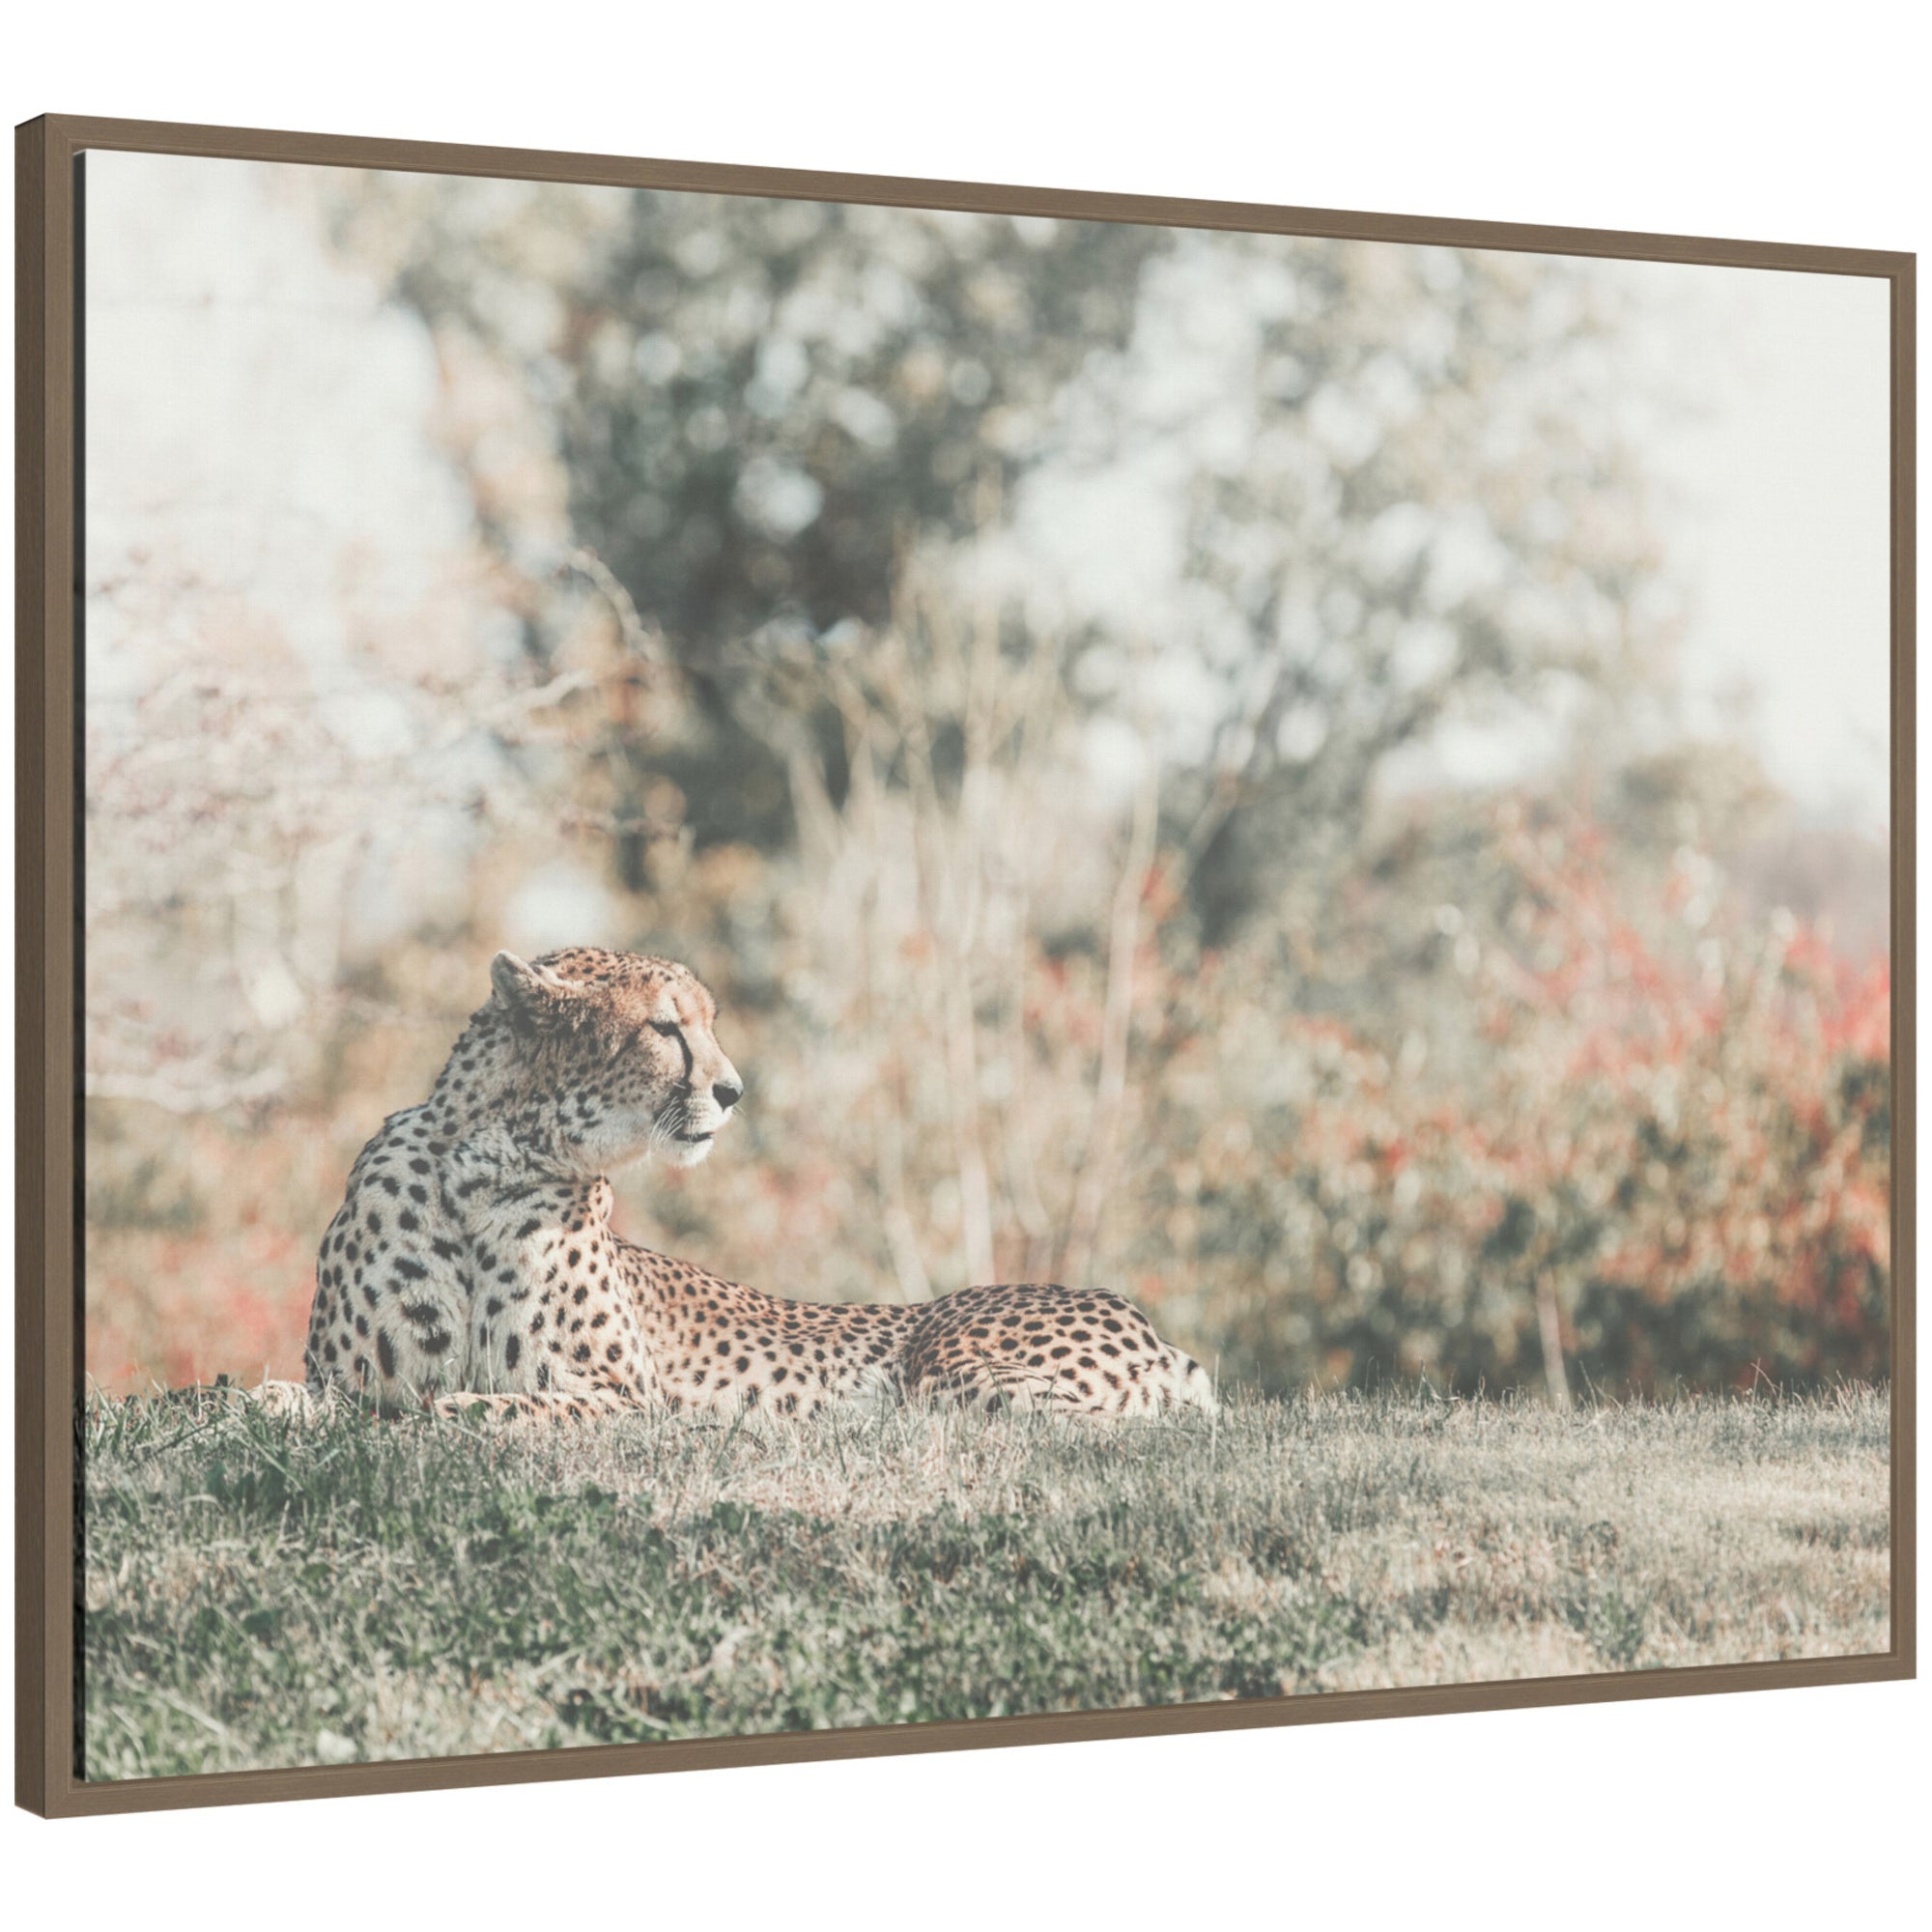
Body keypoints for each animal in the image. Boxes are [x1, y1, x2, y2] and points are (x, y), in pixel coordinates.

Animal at [305, 945, 1217, 1422]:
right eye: (666, 1029)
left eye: (709, 1024)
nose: (734, 1090)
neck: (484, 1166)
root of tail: (1147, 1324)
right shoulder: (343, 1379)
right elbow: (321, 1400)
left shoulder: (626, 1402)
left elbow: (485, 1406)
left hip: (953, 1367)